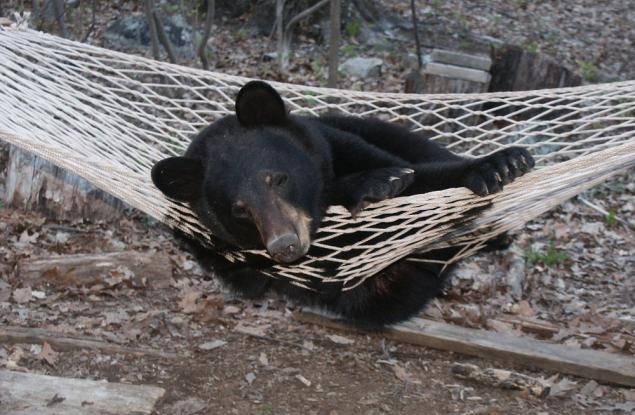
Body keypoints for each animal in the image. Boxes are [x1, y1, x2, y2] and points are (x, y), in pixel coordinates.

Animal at [154, 81, 536, 328]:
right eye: (239, 209)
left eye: (278, 178)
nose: (284, 245)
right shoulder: (219, 253)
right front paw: (372, 185)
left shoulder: (339, 144)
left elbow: (420, 178)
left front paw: (498, 166)